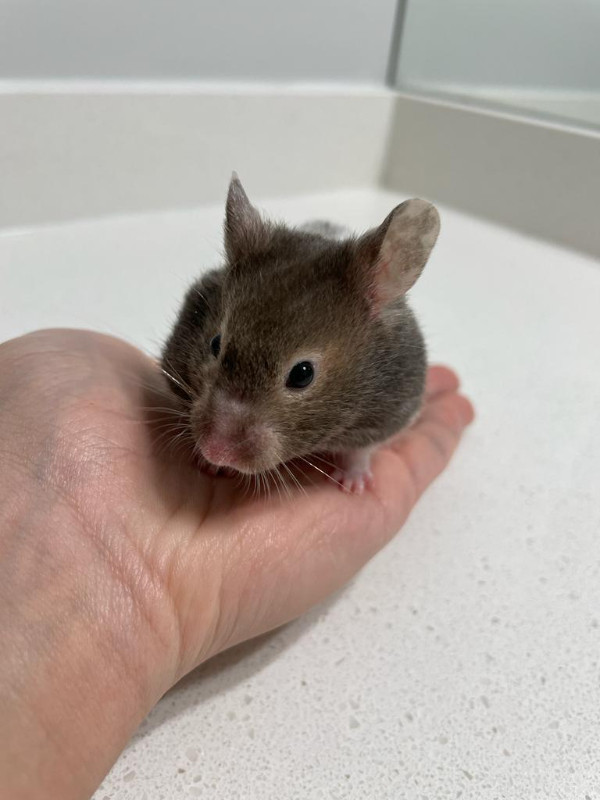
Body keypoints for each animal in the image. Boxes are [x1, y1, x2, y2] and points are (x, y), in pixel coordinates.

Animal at [162, 173, 438, 494]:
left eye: (302, 374)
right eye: (215, 344)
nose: (214, 450)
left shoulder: (390, 412)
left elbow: (360, 452)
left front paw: (351, 485)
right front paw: (209, 466)